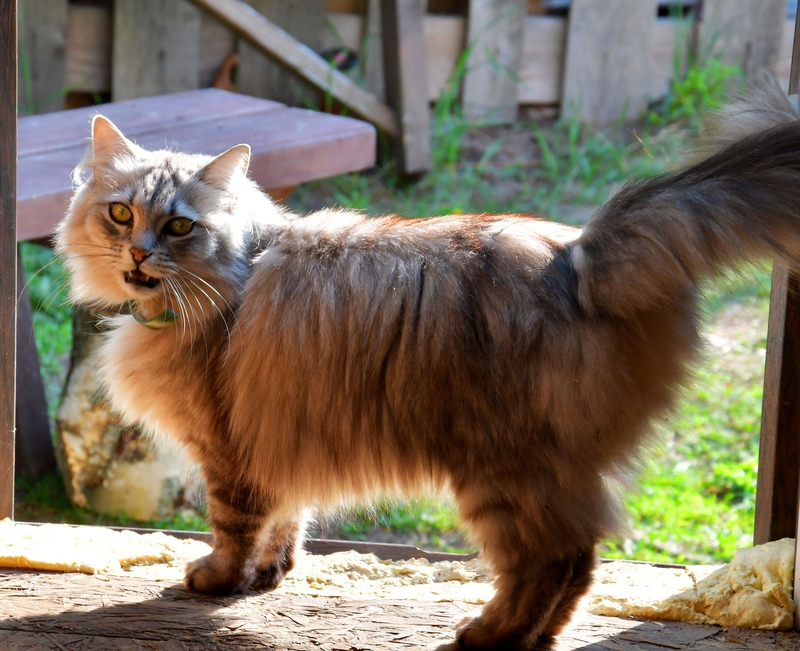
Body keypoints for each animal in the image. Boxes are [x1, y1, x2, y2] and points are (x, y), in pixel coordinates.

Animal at [57, 81, 800, 651]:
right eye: (120, 213)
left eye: (180, 227)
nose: (139, 254)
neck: (234, 274)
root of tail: (577, 256)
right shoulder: (278, 431)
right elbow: (287, 517)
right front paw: (271, 574)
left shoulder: (229, 443)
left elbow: (236, 525)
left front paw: (219, 580)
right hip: (542, 468)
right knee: (582, 564)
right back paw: (532, 637)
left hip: (499, 466)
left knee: (551, 560)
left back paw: (491, 635)